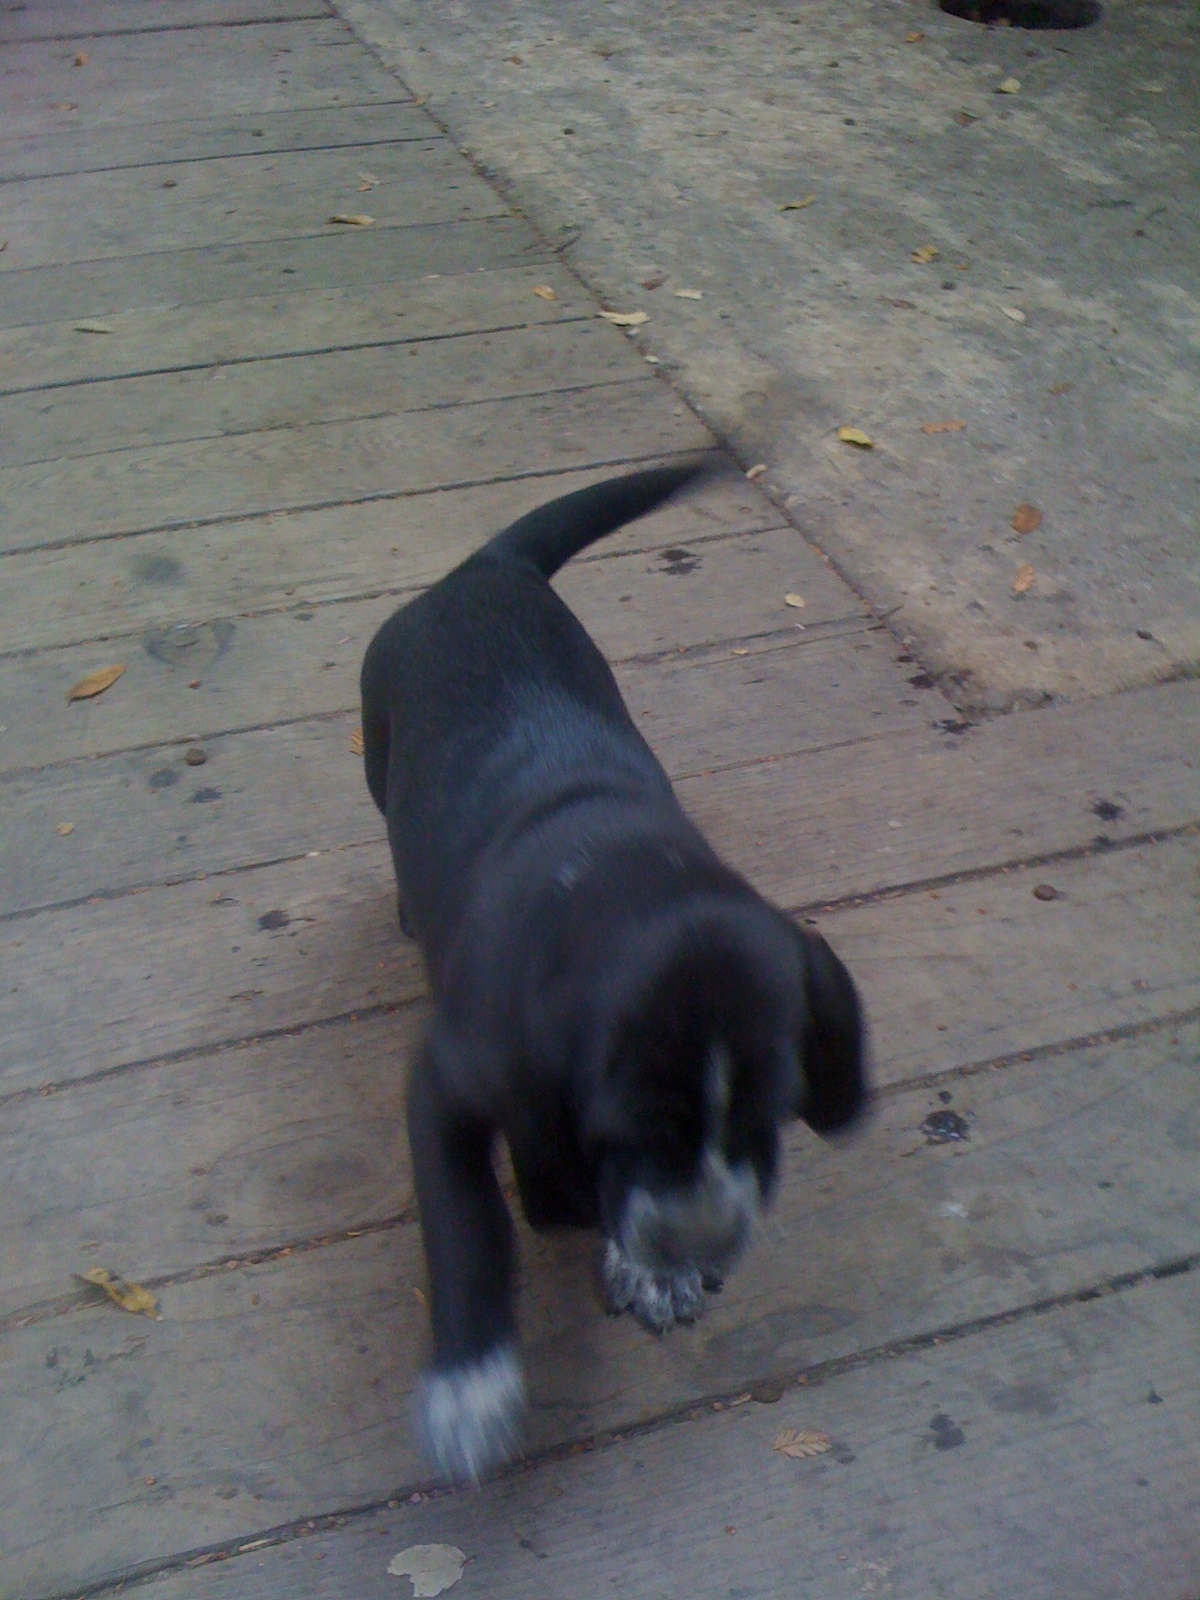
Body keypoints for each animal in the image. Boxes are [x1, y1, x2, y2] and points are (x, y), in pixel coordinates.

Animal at [360, 462, 867, 1483]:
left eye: (774, 1112)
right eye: (636, 1124)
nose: (703, 1250)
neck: (620, 865)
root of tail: (485, 565)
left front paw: (650, 1272)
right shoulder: (449, 1085)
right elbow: (470, 1225)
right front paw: (470, 1386)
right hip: (373, 732)